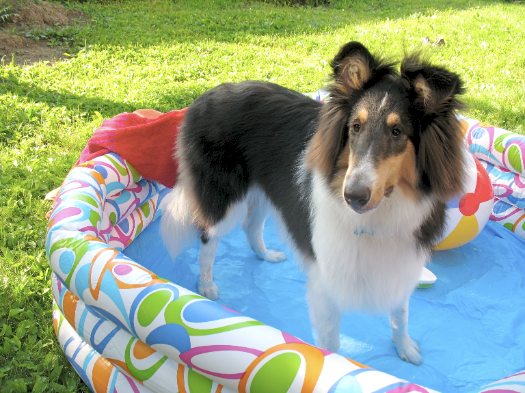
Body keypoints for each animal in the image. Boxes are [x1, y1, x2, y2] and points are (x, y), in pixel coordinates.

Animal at [162, 41, 464, 362]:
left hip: (266, 191)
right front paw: (334, 367)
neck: (382, 211)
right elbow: (331, 342)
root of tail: (202, 98)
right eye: (355, 127)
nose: (352, 196)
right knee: (208, 236)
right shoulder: (325, 278)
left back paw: (265, 255)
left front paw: (404, 347)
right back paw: (206, 286)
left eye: (397, 132)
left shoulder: (401, 262)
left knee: (250, 226)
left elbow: (401, 314)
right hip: (224, 198)